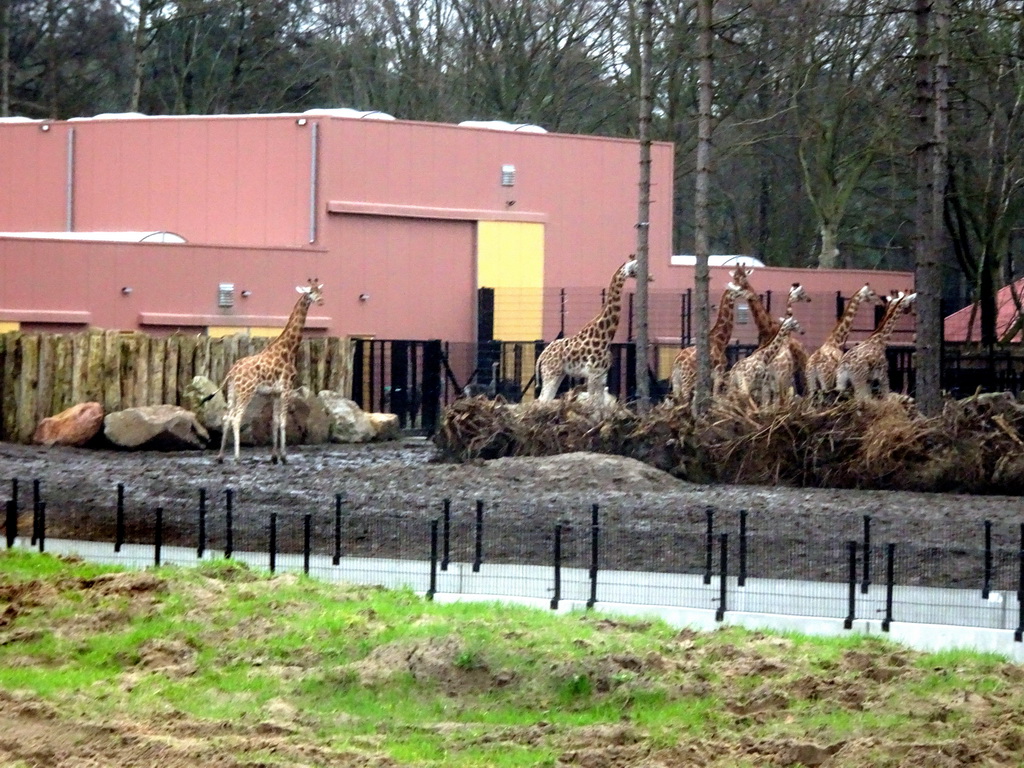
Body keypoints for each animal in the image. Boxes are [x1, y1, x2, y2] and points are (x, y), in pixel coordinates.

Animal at [215, 280, 323, 466]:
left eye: (319, 291)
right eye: (310, 292)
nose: (321, 301)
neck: (289, 350)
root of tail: (232, 371)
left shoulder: (275, 393)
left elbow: (275, 422)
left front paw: (274, 456)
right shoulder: (287, 388)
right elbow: (284, 422)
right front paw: (284, 457)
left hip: (232, 392)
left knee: (226, 417)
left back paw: (221, 456)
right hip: (246, 391)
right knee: (236, 418)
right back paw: (237, 457)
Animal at [536, 259, 638, 403]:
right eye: (635, 267)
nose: (650, 276)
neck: (605, 335)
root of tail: (542, 355)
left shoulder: (602, 375)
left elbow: (600, 403)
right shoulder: (592, 373)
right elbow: (591, 402)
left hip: (559, 374)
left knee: (546, 399)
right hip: (550, 373)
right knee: (542, 400)